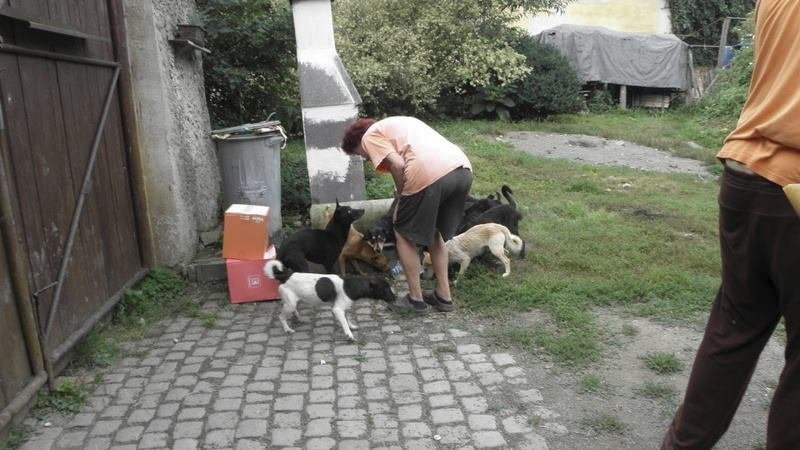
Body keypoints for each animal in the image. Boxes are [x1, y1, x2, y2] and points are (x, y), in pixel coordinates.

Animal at [264, 258, 396, 340]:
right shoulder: (337, 310)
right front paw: (349, 335)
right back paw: (287, 329)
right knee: (281, 317)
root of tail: (285, 276)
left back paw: (297, 317)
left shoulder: (344, 309)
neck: (352, 285)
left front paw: (352, 327)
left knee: (293, 310)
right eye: (387, 290)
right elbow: (344, 323)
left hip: (295, 301)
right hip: (290, 304)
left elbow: (347, 319)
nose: (395, 297)